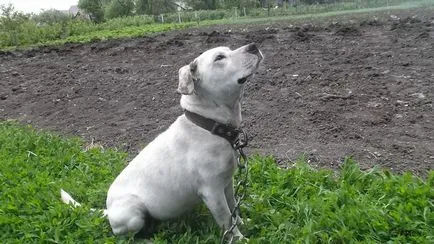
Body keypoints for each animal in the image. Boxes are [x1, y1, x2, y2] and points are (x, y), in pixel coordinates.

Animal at [61, 43, 262, 239]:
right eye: (219, 57)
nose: (253, 45)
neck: (208, 126)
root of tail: (108, 211)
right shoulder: (212, 192)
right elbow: (226, 219)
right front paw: (240, 238)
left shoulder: (227, 184)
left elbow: (234, 208)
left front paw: (243, 223)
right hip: (132, 213)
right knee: (125, 234)